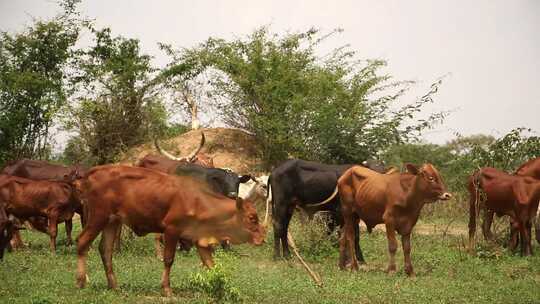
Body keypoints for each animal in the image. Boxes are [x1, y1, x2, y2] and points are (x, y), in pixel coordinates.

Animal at [75, 165, 266, 296]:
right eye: (252, 218)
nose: (262, 239)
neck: (197, 200)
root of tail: (95, 171)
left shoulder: (200, 239)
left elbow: (211, 265)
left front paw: (223, 287)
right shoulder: (172, 230)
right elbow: (168, 259)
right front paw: (166, 289)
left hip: (112, 222)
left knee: (106, 250)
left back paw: (114, 286)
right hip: (98, 217)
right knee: (82, 242)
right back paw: (81, 282)